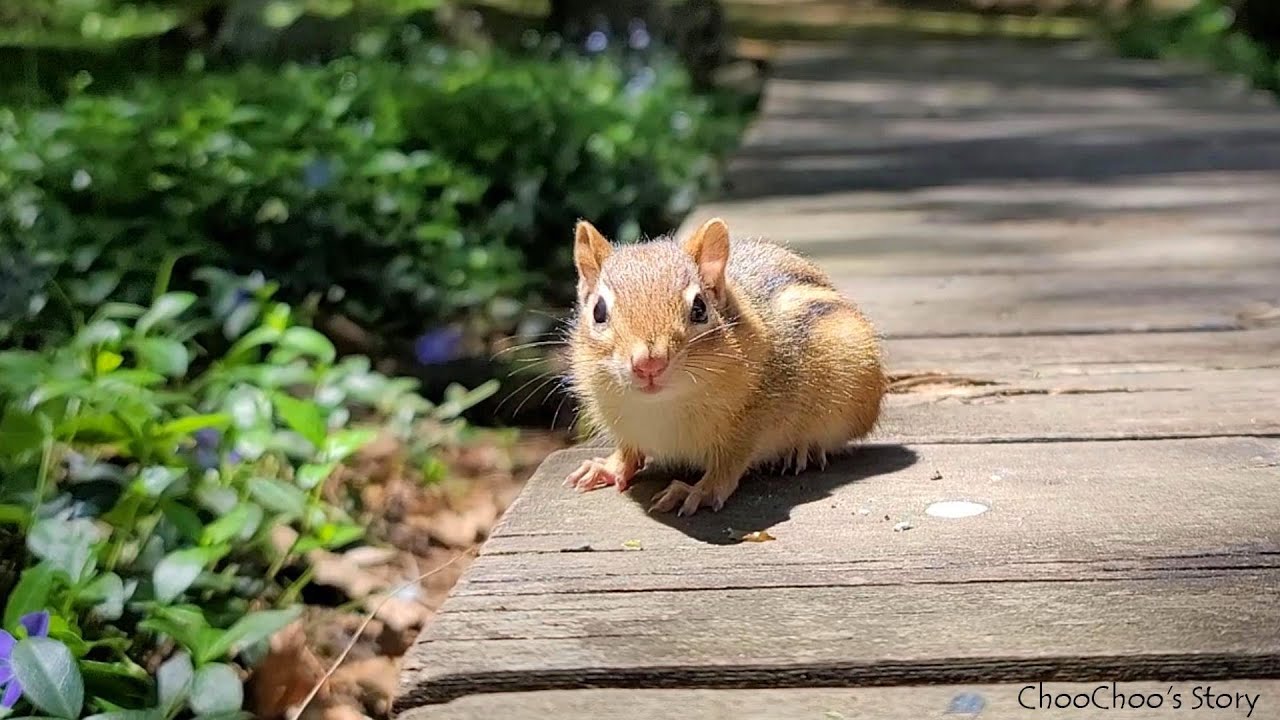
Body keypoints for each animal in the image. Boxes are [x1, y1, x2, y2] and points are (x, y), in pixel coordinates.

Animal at [563, 217, 886, 516]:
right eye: (598, 311)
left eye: (699, 308)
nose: (649, 363)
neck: (659, 406)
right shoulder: (623, 425)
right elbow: (627, 450)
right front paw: (608, 467)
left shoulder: (752, 422)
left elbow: (728, 464)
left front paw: (698, 491)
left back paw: (803, 449)